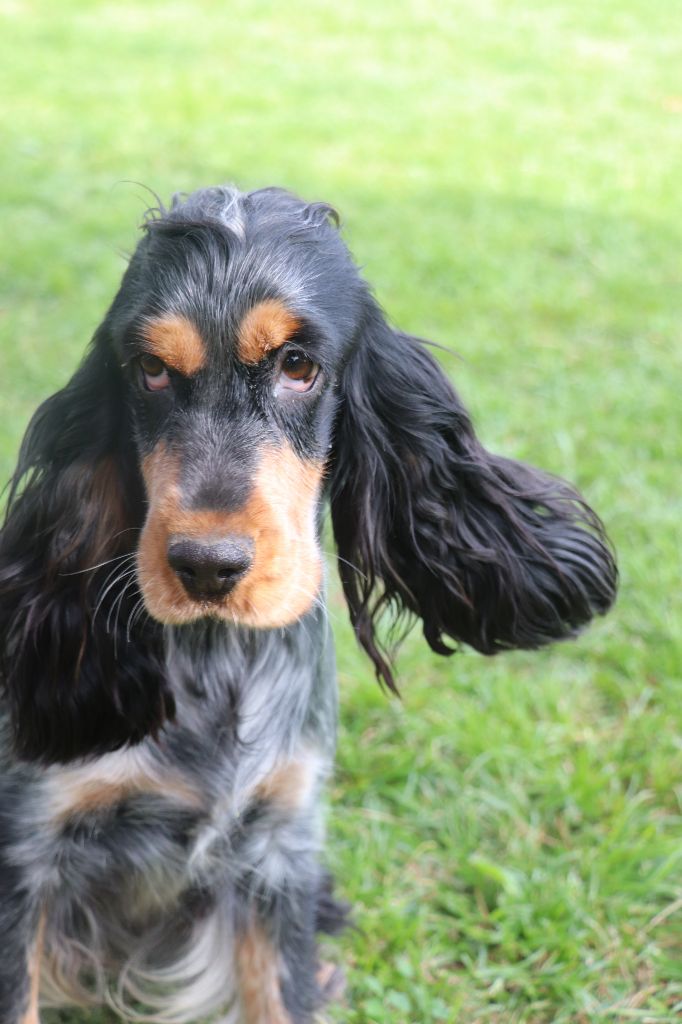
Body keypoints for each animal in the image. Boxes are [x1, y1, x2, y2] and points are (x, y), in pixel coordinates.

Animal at [0, 186, 614, 1024]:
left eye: (298, 365)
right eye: (150, 370)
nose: (207, 566)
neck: (220, 662)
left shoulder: (279, 854)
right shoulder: (25, 851)